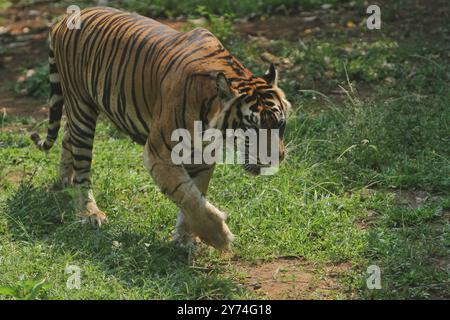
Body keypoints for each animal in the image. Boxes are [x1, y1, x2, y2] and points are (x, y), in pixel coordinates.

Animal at [30, 6, 292, 250]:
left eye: (280, 124)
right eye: (251, 128)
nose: (277, 159)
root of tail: (66, 18)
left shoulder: (202, 157)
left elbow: (195, 195)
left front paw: (186, 238)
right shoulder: (160, 153)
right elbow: (187, 195)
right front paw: (218, 237)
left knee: (68, 138)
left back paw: (66, 181)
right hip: (81, 106)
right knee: (82, 163)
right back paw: (89, 212)